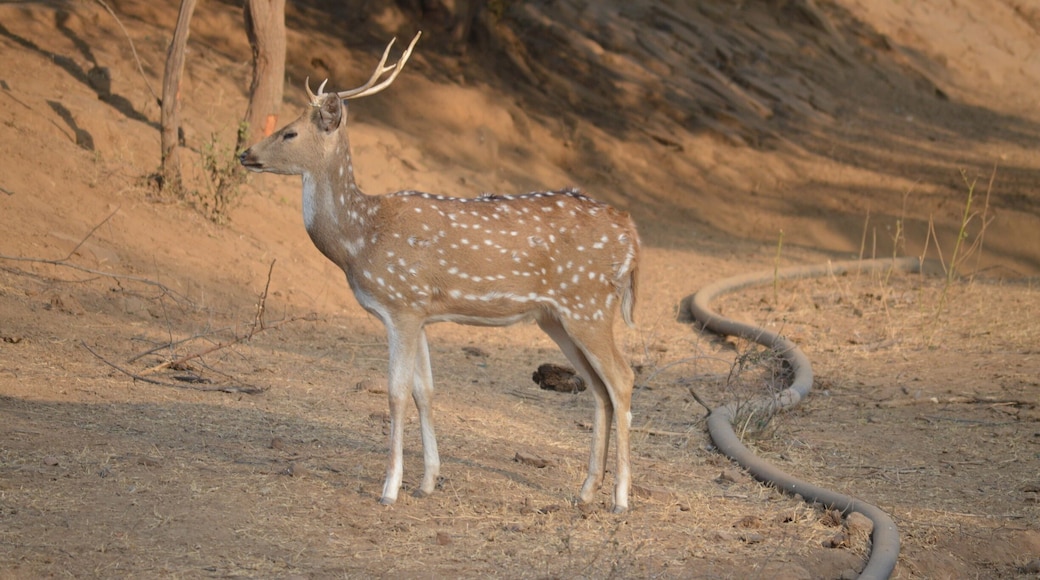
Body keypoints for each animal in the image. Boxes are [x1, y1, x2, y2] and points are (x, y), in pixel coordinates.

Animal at [239, 32, 641, 513]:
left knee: (623, 378)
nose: (244, 153)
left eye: (290, 132)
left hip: (588, 304)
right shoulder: (421, 313)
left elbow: (395, 393)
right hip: (557, 318)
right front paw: (428, 481)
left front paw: (390, 488)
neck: (360, 239)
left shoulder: (401, 304)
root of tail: (632, 234)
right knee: (597, 388)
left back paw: (621, 498)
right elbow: (424, 391)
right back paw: (585, 490)